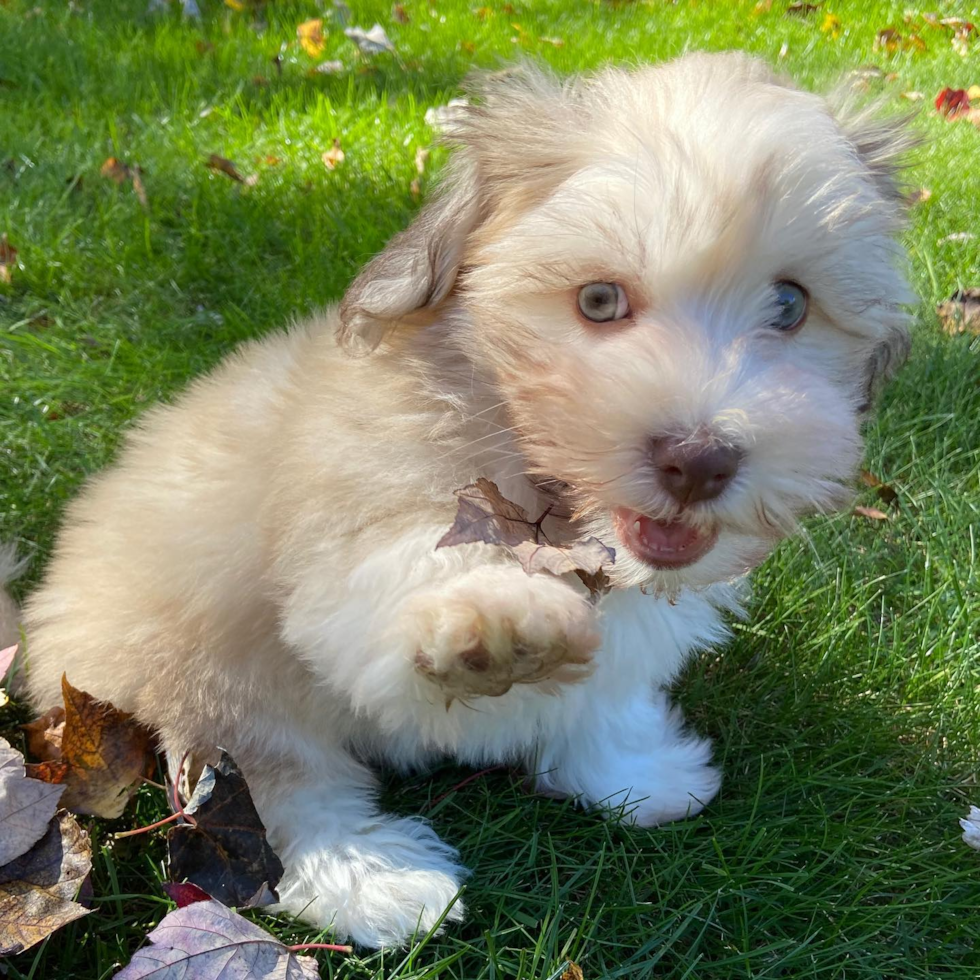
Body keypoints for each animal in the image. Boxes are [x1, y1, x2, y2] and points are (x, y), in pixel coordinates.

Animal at [9, 49, 912, 944]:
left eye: (790, 305)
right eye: (599, 300)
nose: (699, 460)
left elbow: (609, 693)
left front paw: (633, 771)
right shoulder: (346, 540)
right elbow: (400, 581)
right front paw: (495, 619)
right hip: (209, 674)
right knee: (274, 789)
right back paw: (372, 877)